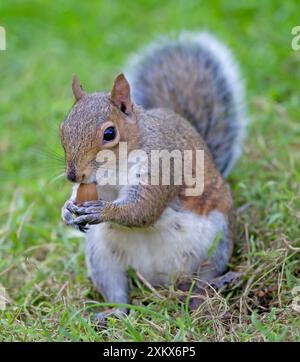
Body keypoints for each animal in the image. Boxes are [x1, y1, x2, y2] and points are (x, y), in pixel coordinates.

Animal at [60, 30, 246, 320]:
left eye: (109, 133)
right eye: (62, 129)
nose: (73, 175)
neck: (115, 168)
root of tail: (159, 280)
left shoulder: (162, 166)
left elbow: (143, 209)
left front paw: (102, 211)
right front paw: (68, 210)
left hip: (218, 239)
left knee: (204, 279)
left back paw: (214, 287)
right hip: (102, 258)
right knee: (118, 294)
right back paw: (111, 314)